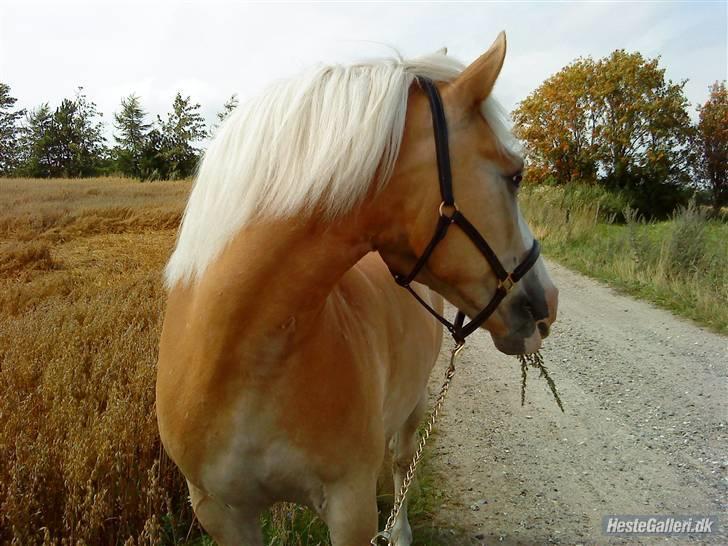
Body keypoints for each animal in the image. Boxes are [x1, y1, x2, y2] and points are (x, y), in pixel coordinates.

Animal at [158, 33, 556, 544]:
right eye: (515, 175)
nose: (549, 302)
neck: (243, 362)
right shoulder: (220, 512)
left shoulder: (349, 507)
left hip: (415, 401)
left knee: (402, 462)